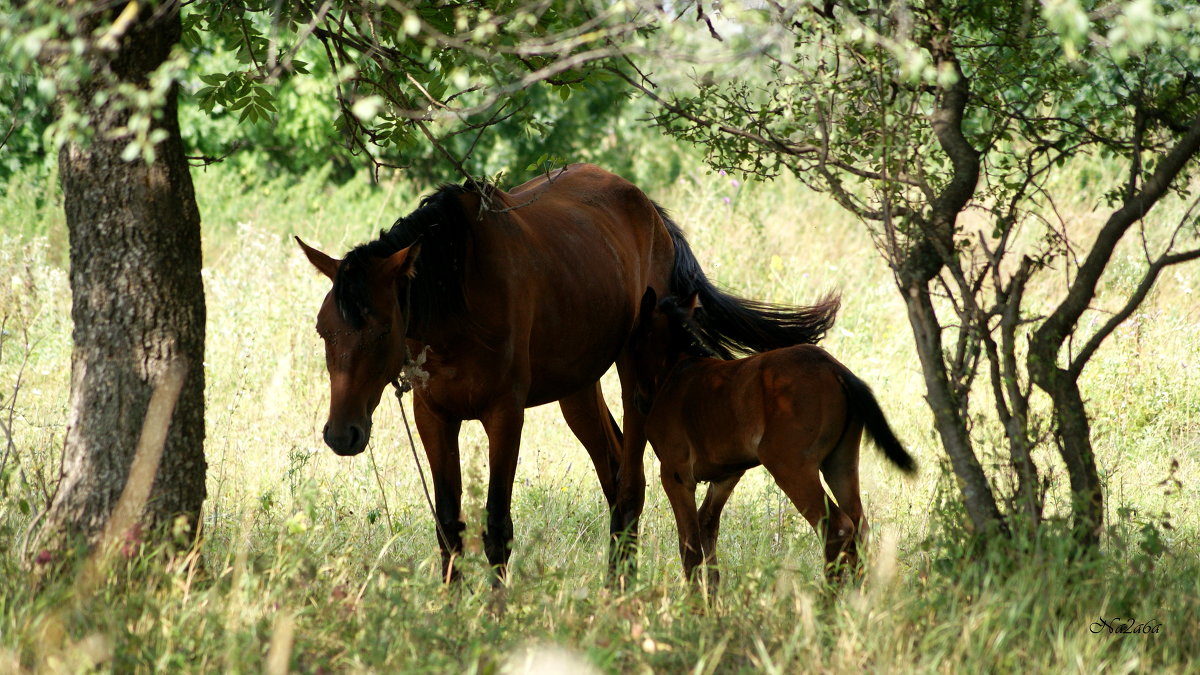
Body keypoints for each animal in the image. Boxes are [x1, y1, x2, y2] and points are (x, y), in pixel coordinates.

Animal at [295, 164, 840, 583]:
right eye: (323, 330)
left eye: (382, 329)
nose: (342, 434)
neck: (461, 290)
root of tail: (649, 210)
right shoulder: (435, 416)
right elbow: (449, 526)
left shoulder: (505, 416)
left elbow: (498, 526)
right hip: (577, 388)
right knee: (613, 470)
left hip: (636, 379)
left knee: (630, 489)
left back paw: (620, 593)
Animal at [633, 288, 912, 583]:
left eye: (635, 336)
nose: (639, 401)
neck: (677, 372)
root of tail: (835, 369)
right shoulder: (726, 476)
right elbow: (707, 528)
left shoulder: (676, 475)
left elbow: (690, 546)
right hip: (841, 463)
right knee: (859, 528)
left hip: (789, 467)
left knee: (837, 528)